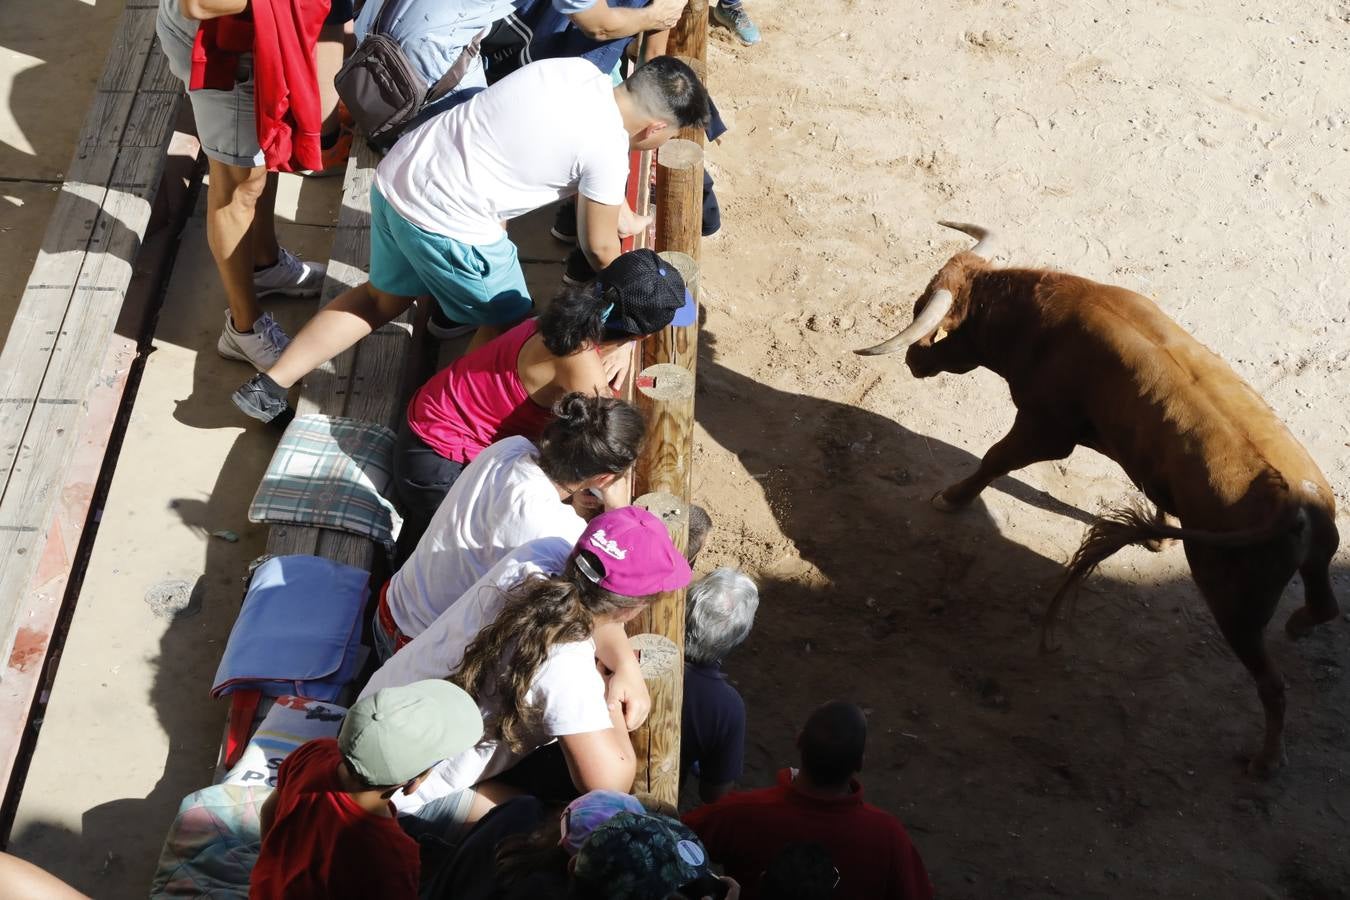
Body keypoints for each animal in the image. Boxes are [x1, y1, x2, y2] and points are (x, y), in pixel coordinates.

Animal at [864, 223, 1339, 777]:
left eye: (934, 323)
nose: (914, 359)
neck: (1039, 314)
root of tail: (1295, 504)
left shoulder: (1044, 428)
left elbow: (994, 459)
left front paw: (951, 498)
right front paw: (1158, 539)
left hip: (1234, 604)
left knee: (1273, 684)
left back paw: (1265, 761)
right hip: (1312, 562)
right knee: (1324, 606)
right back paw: (1299, 628)